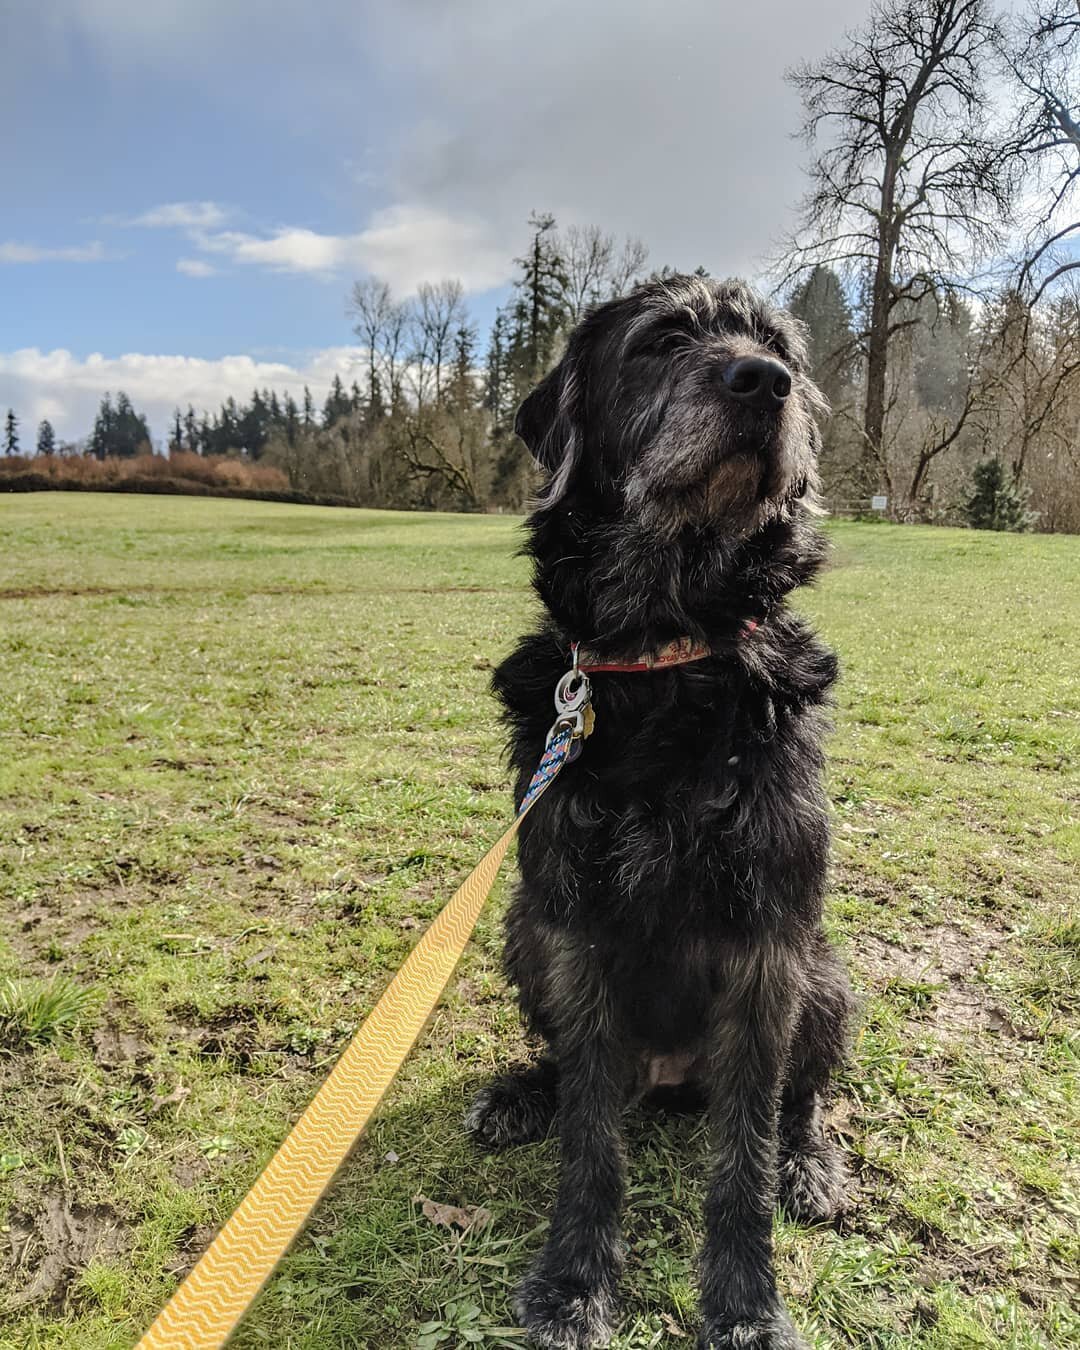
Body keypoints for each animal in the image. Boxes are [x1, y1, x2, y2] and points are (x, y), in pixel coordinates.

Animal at [467, 276, 858, 1350]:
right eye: (659, 342)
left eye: (781, 349)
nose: (763, 384)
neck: (670, 649)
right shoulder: (576, 929)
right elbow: (591, 1137)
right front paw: (574, 1282)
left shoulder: (770, 945)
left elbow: (745, 1156)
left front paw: (744, 1304)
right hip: (526, 935)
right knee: (576, 1074)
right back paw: (523, 1093)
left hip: (825, 975)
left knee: (800, 1097)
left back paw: (813, 1160)